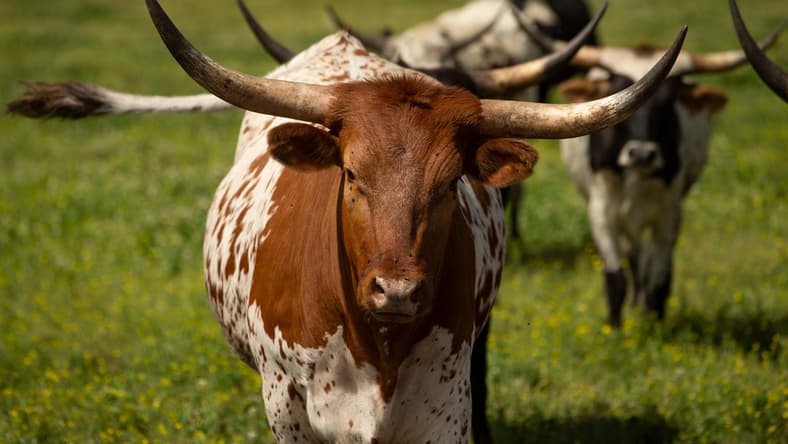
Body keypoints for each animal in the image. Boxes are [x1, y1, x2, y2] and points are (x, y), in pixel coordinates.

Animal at [9, 0, 685, 441]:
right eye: (352, 175)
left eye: (450, 182)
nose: (398, 290)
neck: (375, 344)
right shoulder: (290, 412)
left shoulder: (441, 408)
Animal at [537, 24, 785, 327]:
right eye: (618, 95)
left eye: (667, 104)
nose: (642, 154)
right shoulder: (601, 211)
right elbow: (616, 279)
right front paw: (615, 330)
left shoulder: (668, 213)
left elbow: (659, 277)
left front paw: (654, 324)